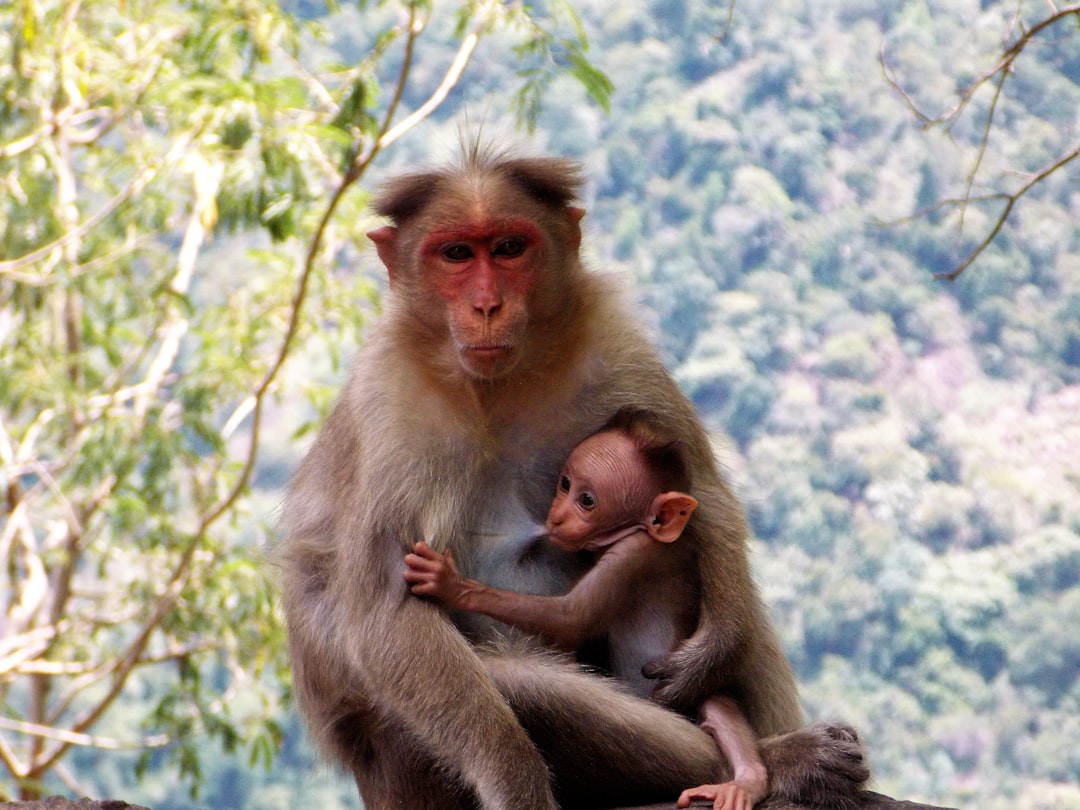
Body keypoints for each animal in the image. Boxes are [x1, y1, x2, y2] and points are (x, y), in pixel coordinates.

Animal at [406, 412, 768, 810]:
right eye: (565, 484)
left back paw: (748, 779)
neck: (634, 530)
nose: (556, 517)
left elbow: (572, 617)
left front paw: (450, 583)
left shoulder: (631, 555)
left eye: (587, 500)